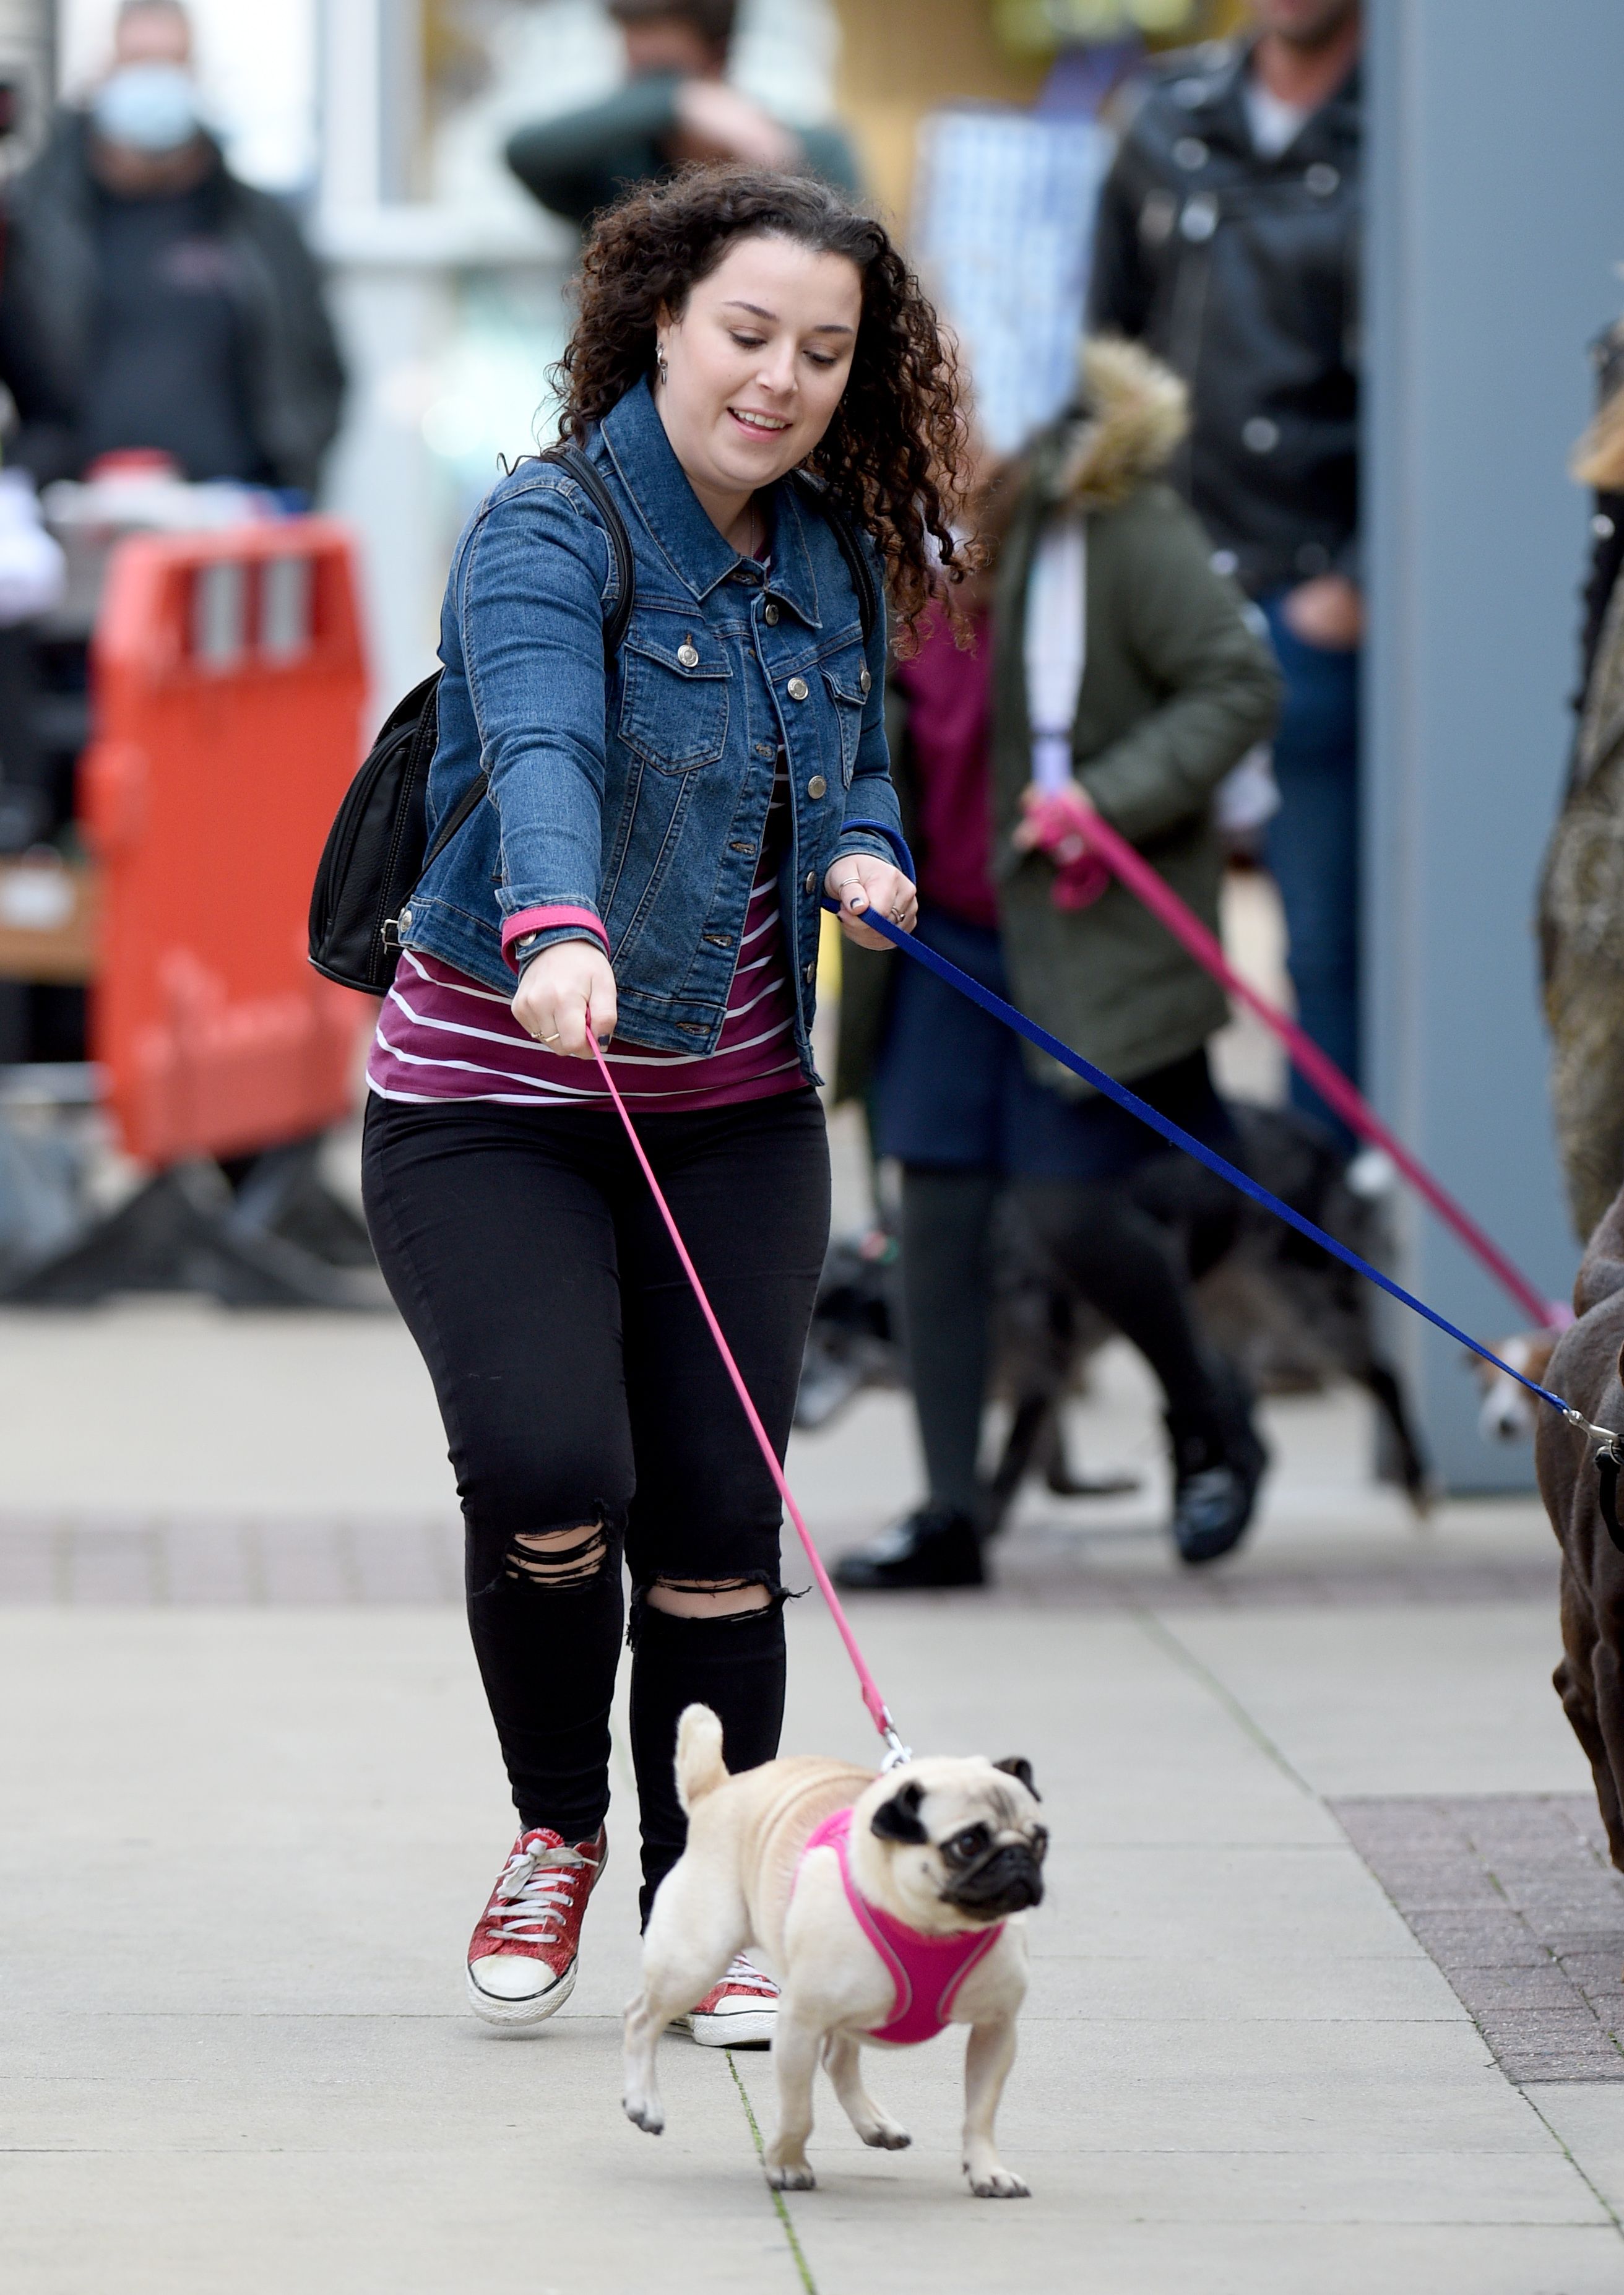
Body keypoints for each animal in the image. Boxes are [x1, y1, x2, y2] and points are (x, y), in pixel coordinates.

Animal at [615, 1716, 1046, 2193]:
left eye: (1041, 1840)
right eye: (968, 1843)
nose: (1017, 1858)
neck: (934, 1928)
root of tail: (718, 1789)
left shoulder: (995, 2030)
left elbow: (980, 2115)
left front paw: (987, 2170)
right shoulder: (800, 2025)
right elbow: (798, 2112)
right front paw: (788, 2165)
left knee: (838, 2061)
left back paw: (876, 2124)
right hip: (696, 1959)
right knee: (641, 2017)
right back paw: (644, 2103)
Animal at [803, 1101, 1431, 1532]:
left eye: (833, 1347)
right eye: (805, 1346)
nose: (799, 1422)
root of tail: (1320, 1141)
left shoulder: (1042, 1367)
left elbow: (1011, 1464)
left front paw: (981, 1523)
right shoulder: (1034, 1379)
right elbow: (1049, 1464)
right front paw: (1083, 1490)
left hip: (1307, 1313)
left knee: (1385, 1376)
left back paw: (1416, 1480)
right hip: (1213, 1327)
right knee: (1250, 1441)